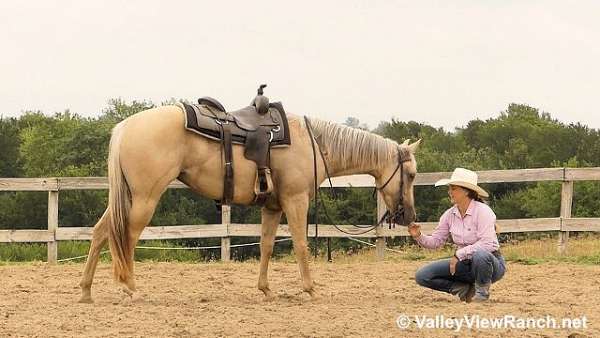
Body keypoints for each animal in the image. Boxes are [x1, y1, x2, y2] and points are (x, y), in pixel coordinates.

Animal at [77, 103, 420, 304]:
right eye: (412, 174)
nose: (409, 216)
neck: (313, 143)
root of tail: (125, 127)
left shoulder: (273, 206)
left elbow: (266, 245)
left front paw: (265, 289)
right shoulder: (295, 200)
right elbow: (300, 244)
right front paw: (310, 288)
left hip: (127, 197)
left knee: (101, 232)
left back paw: (86, 291)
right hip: (145, 197)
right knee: (126, 238)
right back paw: (129, 287)